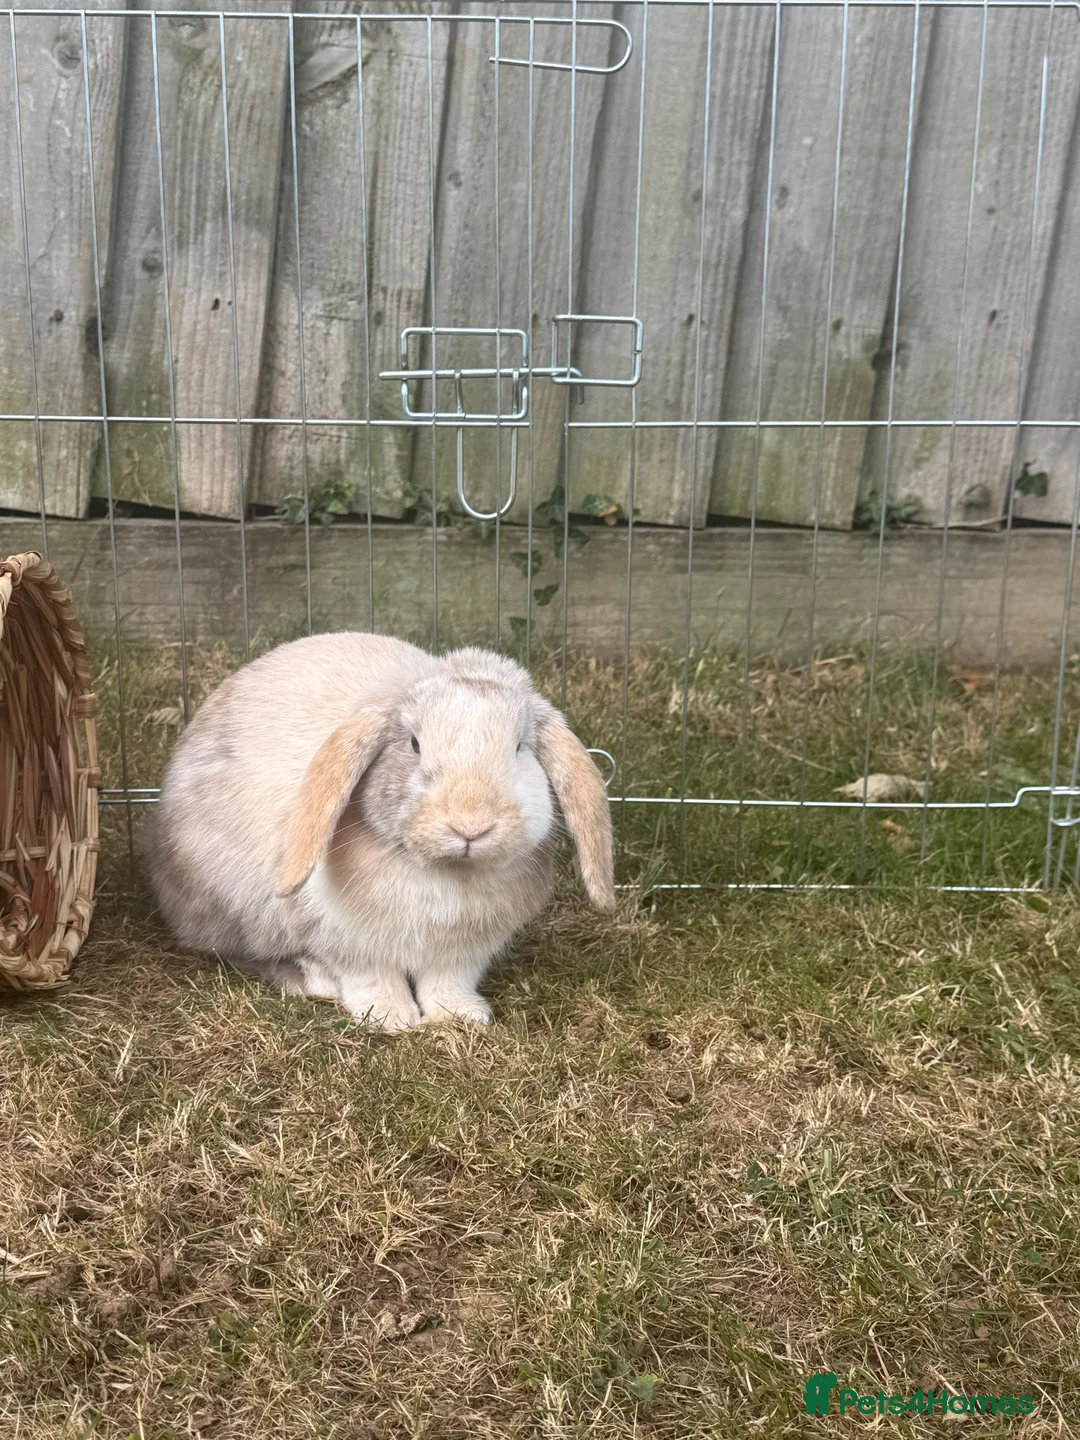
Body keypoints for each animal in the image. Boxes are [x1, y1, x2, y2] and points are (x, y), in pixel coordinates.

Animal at [144, 633, 614, 1030]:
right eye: (414, 744)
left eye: (519, 748)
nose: (470, 825)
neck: (445, 872)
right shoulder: (347, 942)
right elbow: (370, 977)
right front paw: (391, 1018)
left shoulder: (462, 953)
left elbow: (447, 982)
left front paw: (461, 1016)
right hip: (236, 909)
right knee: (244, 955)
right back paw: (313, 980)